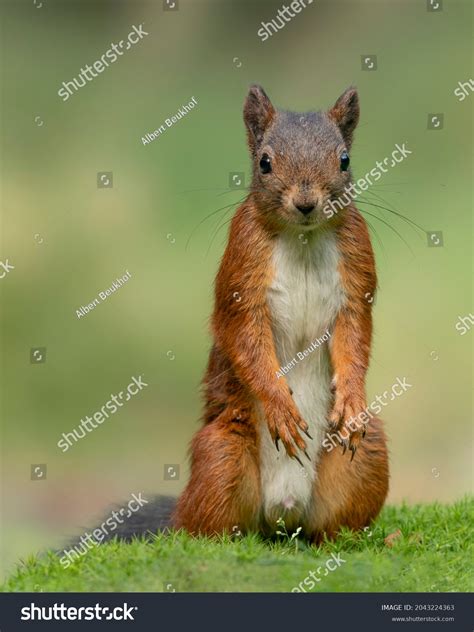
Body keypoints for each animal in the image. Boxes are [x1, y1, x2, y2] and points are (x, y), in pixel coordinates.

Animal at [97, 86, 388, 544]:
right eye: (265, 162)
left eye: (343, 159)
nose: (306, 202)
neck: (302, 238)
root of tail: (284, 516)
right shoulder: (242, 265)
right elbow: (242, 335)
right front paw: (280, 406)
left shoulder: (357, 269)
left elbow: (356, 334)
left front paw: (352, 398)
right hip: (222, 456)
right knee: (203, 528)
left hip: (367, 458)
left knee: (331, 526)